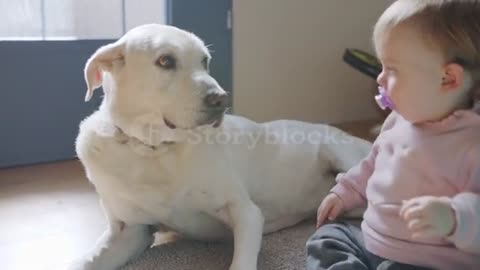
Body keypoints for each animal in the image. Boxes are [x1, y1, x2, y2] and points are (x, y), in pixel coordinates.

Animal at [72, 23, 372, 270]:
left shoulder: (245, 212)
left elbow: (241, 260)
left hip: (340, 152)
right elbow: (83, 262)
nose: (221, 99)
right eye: (165, 60)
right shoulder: (130, 231)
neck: (153, 149)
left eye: (205, 61)